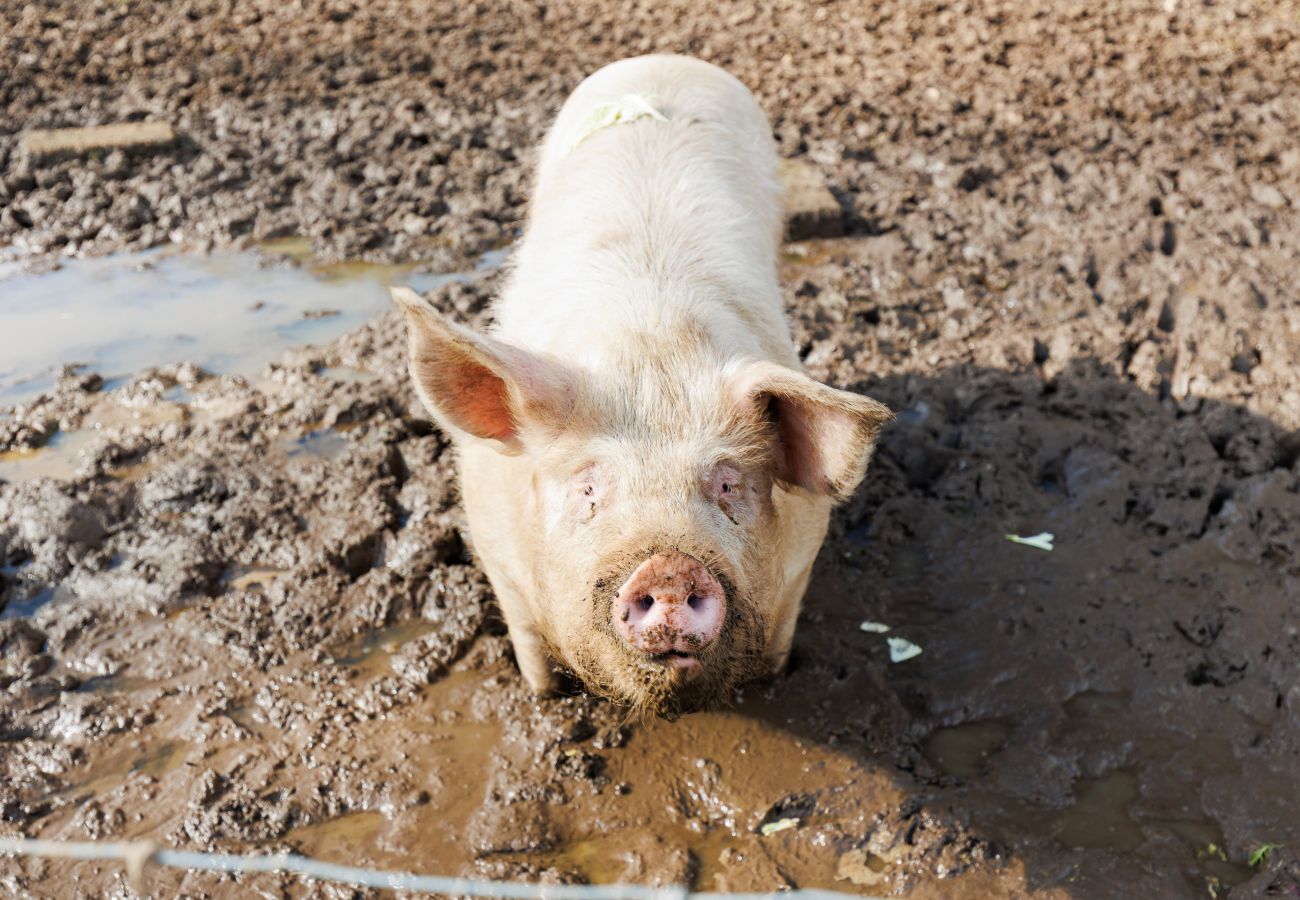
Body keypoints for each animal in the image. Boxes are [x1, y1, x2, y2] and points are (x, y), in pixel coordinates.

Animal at [390, 56, 889, 717]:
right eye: (587, 489)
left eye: (728, 484)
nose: (670, 571)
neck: (653, 344)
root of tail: (667, 58)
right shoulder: (498, 558)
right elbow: (531, 652)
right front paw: (545, 699)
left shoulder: (802, 560)